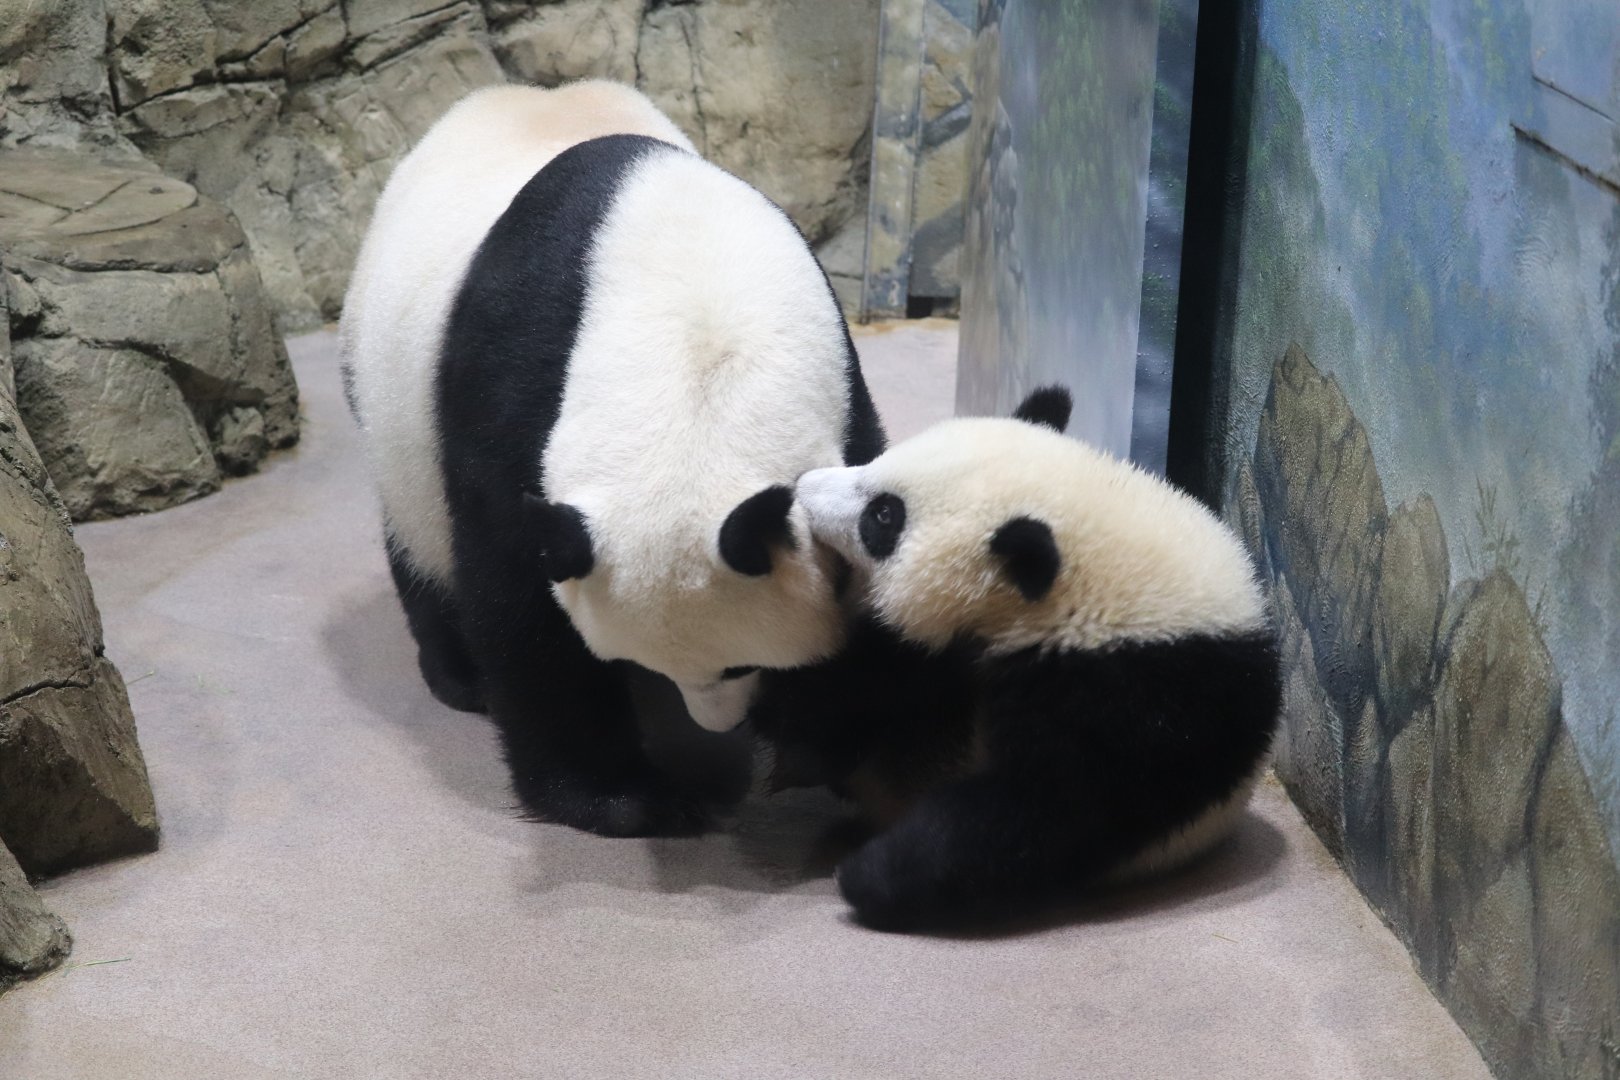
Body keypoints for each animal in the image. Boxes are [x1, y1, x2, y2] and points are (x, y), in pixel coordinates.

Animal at [340, 81, 884, 838]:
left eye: (740, 665)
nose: (721, 724)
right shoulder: (511, 384)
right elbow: (517, 595)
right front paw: (627, 797)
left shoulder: (842, 384)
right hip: (390, 401)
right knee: (422, 542)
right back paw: (461, 677)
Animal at [749, 386, 1280, 930]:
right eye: (880, 461)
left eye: (883, 515)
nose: (803, 486)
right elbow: (871, 677)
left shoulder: (1142, 700)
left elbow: (1048, 814)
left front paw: (868, 876)